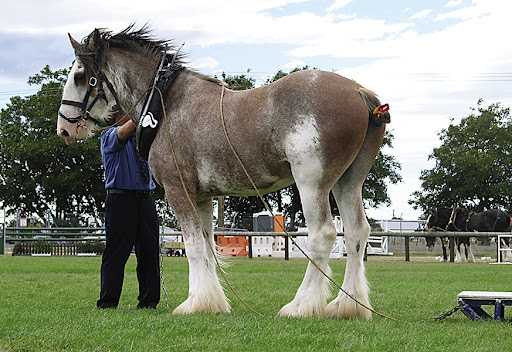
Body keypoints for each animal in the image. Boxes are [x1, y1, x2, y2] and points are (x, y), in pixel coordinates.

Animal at [56, 27, 390, 320]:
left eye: (80, 75)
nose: (63, 128)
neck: (165, 104)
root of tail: (358, 91)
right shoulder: (203, 198)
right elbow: (206, 246)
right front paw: (210, 301)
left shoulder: (179, 191)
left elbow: (193, 247)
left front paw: (193, 303)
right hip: (348, 183)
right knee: (357, 233)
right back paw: (348, 306)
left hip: (312, 184)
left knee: (323, 235)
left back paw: (301, 306)